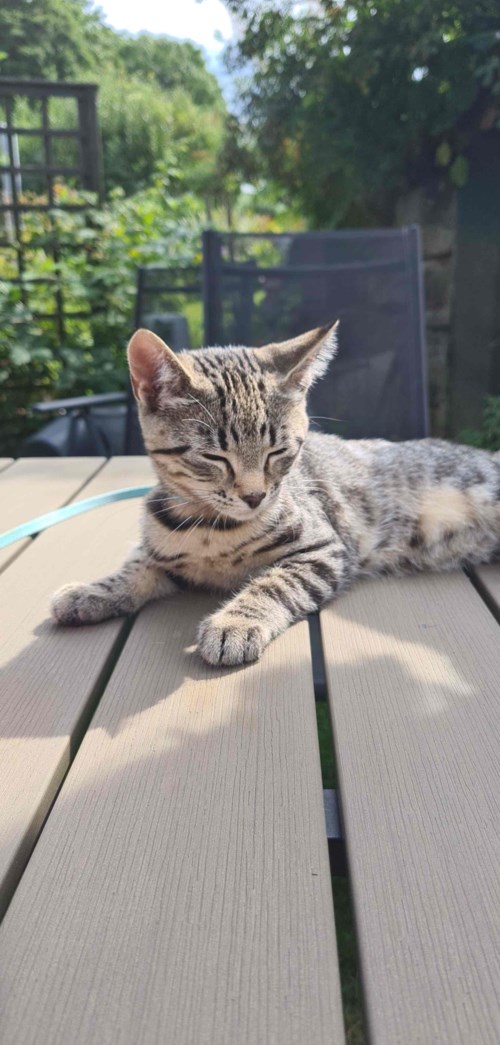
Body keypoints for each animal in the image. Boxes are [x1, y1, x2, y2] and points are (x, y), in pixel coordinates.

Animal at [51, 324, 500, 666]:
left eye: (279, 452)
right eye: (214, 456)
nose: (255, 496)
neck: (211, 527)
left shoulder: (324, 548)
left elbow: (274, 584)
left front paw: (234, 623)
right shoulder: (163, 551)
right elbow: (136, 567)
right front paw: (91, 591)